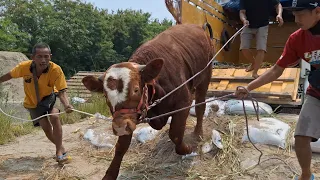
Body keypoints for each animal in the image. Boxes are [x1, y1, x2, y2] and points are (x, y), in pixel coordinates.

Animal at [81, 23, 214, 180]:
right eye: (106, 96)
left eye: (136, 90)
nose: (119, 128)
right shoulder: (127, 118)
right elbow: (121, 147)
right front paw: (110, 174)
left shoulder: (184, 101)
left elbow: (175, 133)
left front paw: (187, 149)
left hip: (205, 78)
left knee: (200, 106)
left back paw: (198, 133)